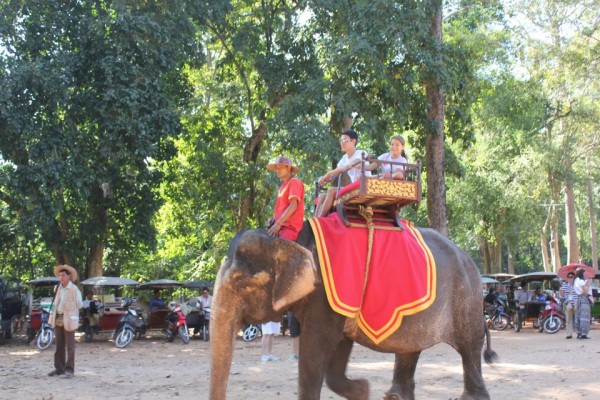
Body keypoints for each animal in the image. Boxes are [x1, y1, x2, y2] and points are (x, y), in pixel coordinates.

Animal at [211, 223, 496, 398]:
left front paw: (361, 389)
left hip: (466, 298)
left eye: (239, 282)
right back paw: (393, 396)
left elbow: (316, 346)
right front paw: (363, 390)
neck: (287, 239)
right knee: (409, 350)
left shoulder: (326, 295)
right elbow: (339, 347)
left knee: (469, 348)